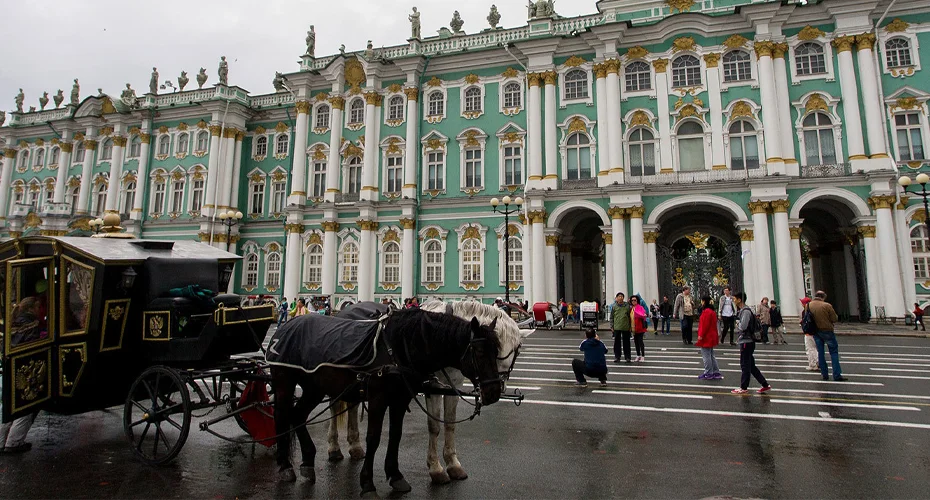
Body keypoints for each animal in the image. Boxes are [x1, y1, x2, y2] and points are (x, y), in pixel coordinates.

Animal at [267, 307, 504, 497]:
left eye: (497, 351)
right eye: (479, 352)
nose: (494, 392)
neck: (398, 347)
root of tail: (285, 326)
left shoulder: (400, 398)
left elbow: (396, 435)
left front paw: (396, 476)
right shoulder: (378, 397)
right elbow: (373, 438)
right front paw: (367, 484)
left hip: (315, 388)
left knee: (298, 415)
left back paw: (308, 463)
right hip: (284, 382)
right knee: (282, 415)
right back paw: (286, 466)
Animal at [327, 300, 523, 484]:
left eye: (498, 350)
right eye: (484, 353)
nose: (495, 392)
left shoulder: (454, 386)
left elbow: (450, 424)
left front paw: (453, 465)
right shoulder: (432, 387)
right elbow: (434, 426)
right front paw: (436, 469)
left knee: (352, 405)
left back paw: (355, 446)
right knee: (335, 407)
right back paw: (334, 448)